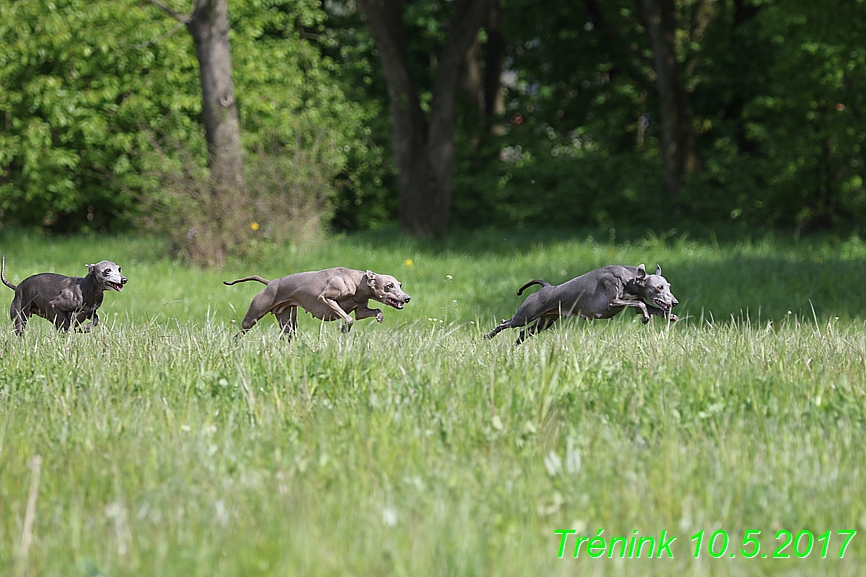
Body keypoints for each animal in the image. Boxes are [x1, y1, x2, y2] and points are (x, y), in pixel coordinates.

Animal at [223, 266, 412, 338]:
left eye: (400, 285)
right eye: (389, 286)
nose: (407, 298)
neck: (358, 282)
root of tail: (271, 283)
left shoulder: (361, 310)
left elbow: (370, 312)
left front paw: (379, 317)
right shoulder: (326, 298)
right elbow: (349, 318)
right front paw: (344, 329)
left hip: (288, 321)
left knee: (287, 335)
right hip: (253, 316)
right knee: (240, 332)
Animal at [486, 264, 676, 344]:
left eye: (668, 286)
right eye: (659, 287)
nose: (675, 302)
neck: (630, 278)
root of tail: (547, 287)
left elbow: (649, 307)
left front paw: (670, 316)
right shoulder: (613, 302)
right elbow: (640, 304)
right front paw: (645, 318)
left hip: (544, 322)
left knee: (523, 333)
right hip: (525, 315)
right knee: (505, 323)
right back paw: (488, 336)